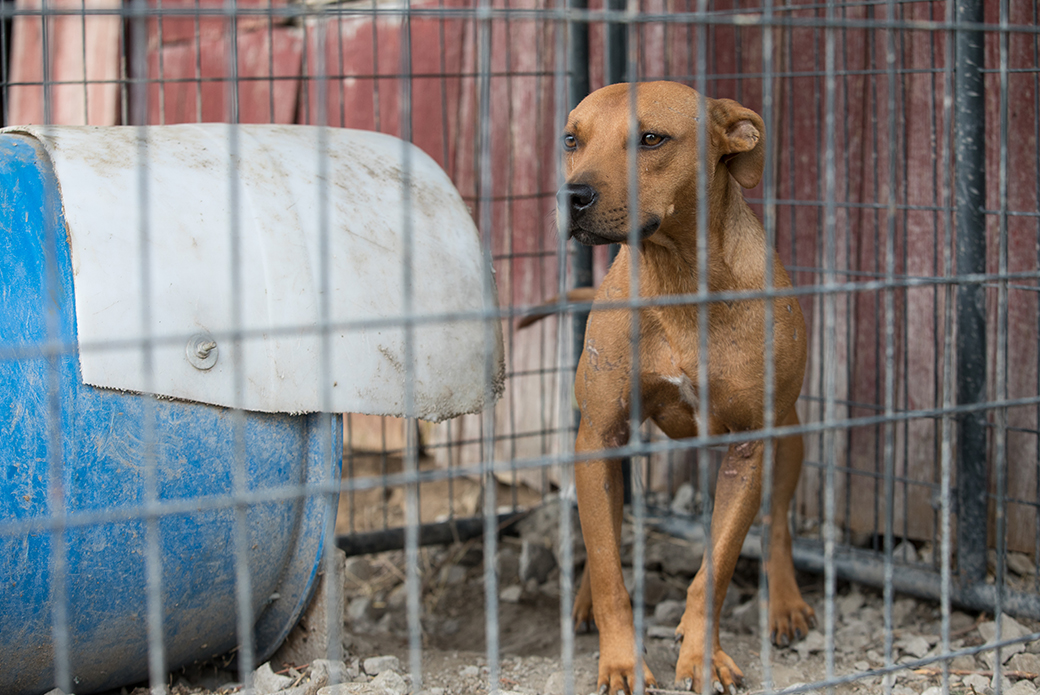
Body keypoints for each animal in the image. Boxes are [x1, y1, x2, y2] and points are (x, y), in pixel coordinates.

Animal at [549, 82, 815, 695]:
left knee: (778, 527)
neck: (677, 281)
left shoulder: (749, 448)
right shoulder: (599, 436)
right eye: (572, 140)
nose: (573, 195)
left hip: (789, 438)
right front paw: (621, 661)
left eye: (651, 138)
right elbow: (608, 565)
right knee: (603, 536)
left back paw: (785, 604)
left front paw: (701, 658)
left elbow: (715, 569)